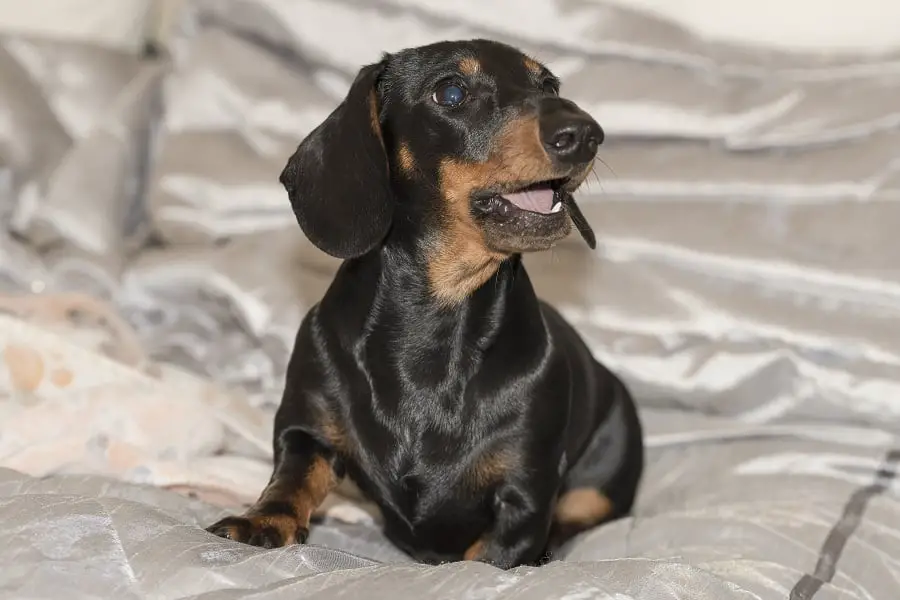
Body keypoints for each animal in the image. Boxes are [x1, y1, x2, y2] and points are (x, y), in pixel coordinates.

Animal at [206, 39, 640, 568]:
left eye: (550, 86)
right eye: (450, 92)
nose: (584, 134)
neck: (436, 322)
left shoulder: (525, 495)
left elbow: (489, 555)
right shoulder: (306, 430)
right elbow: (292, 477)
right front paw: (262, 521)